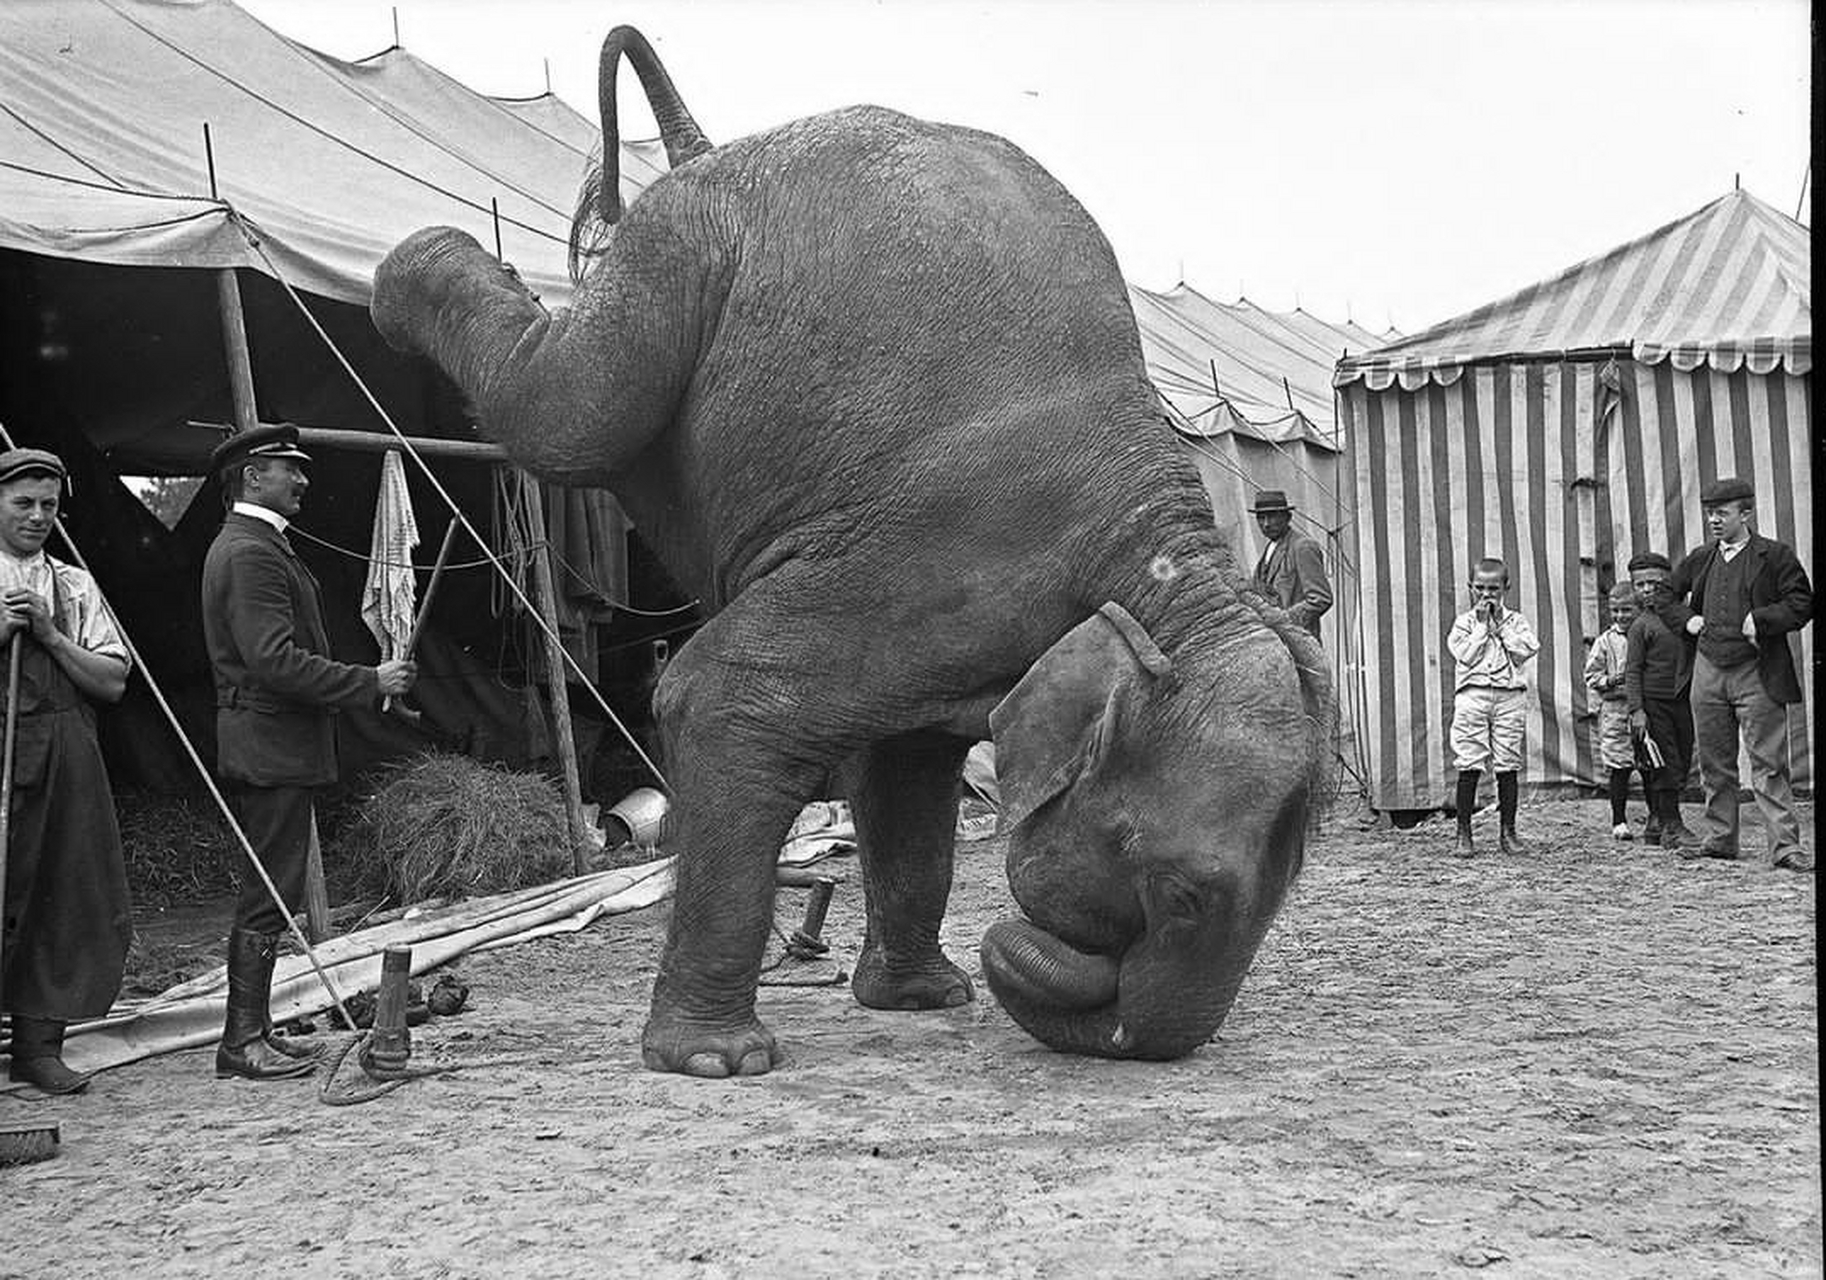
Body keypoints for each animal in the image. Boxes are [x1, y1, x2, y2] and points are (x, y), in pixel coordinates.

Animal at [370, 24, 1336, 1073]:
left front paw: (924, 999)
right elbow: (714, 699)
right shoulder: (936, 560)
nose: (1019, 961)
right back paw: (407, 274)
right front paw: (719, 1063)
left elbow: (908, 767)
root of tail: (708, 148)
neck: (1166, 567)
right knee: (566, 417)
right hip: (676, 252)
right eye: (1182, 894)